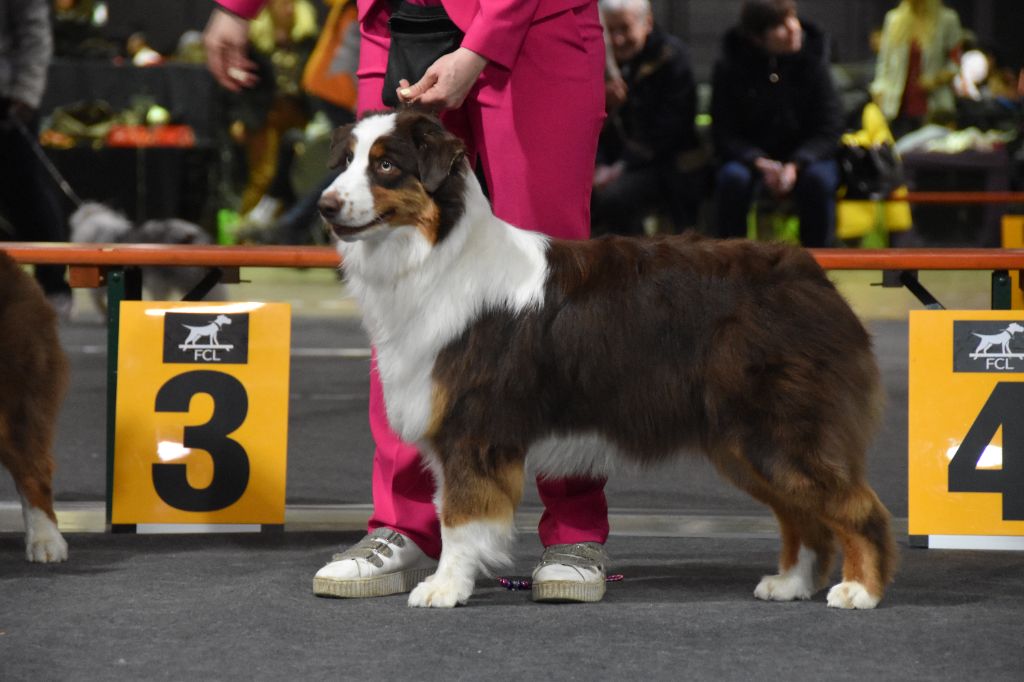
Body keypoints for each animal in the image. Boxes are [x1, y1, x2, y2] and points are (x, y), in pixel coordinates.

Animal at [318, 110, 895, 610]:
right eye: (344, 161)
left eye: (386, 165)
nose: (325, 205)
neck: (435, 253)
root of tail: (811, 273)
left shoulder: (473, 428)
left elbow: (459, 519)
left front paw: (444, 588)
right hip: (744, 443)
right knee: (804, 515)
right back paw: (790, 583)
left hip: (782, 431)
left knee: (858, 507)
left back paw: (859, 591)